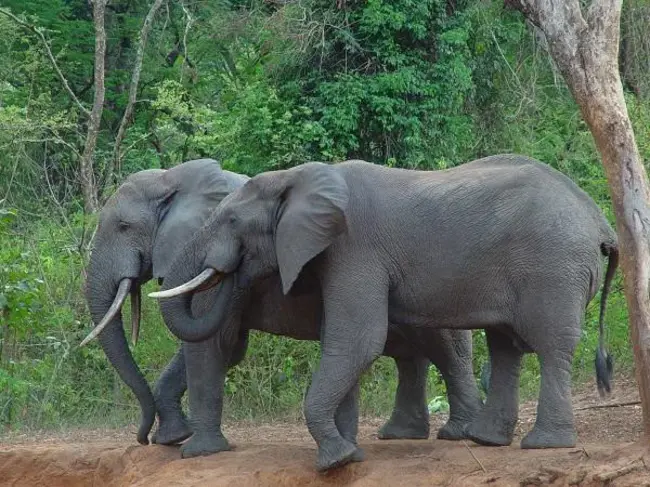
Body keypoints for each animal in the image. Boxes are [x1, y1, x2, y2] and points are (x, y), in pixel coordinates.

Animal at [81, 158, 484, 452]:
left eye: (122, 226)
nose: (141, 439)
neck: (175, 178)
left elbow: (212, 343)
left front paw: (191, 448)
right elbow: (224, 347)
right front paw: (172, 440)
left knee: (446, 353)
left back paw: (458, 434)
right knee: (413, 356)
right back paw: (401, 435)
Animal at [153, 153, 616, 472]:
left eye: (232, 220)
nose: (231, 272)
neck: (299, 176)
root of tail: (600, 221)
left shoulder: (354, 250)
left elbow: (359, 339)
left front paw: (336, 461)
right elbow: (345, 343)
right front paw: (349, 453)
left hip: (554, 267)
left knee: (550, 345)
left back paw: (543, 445)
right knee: (505, 346)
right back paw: (487, 441)